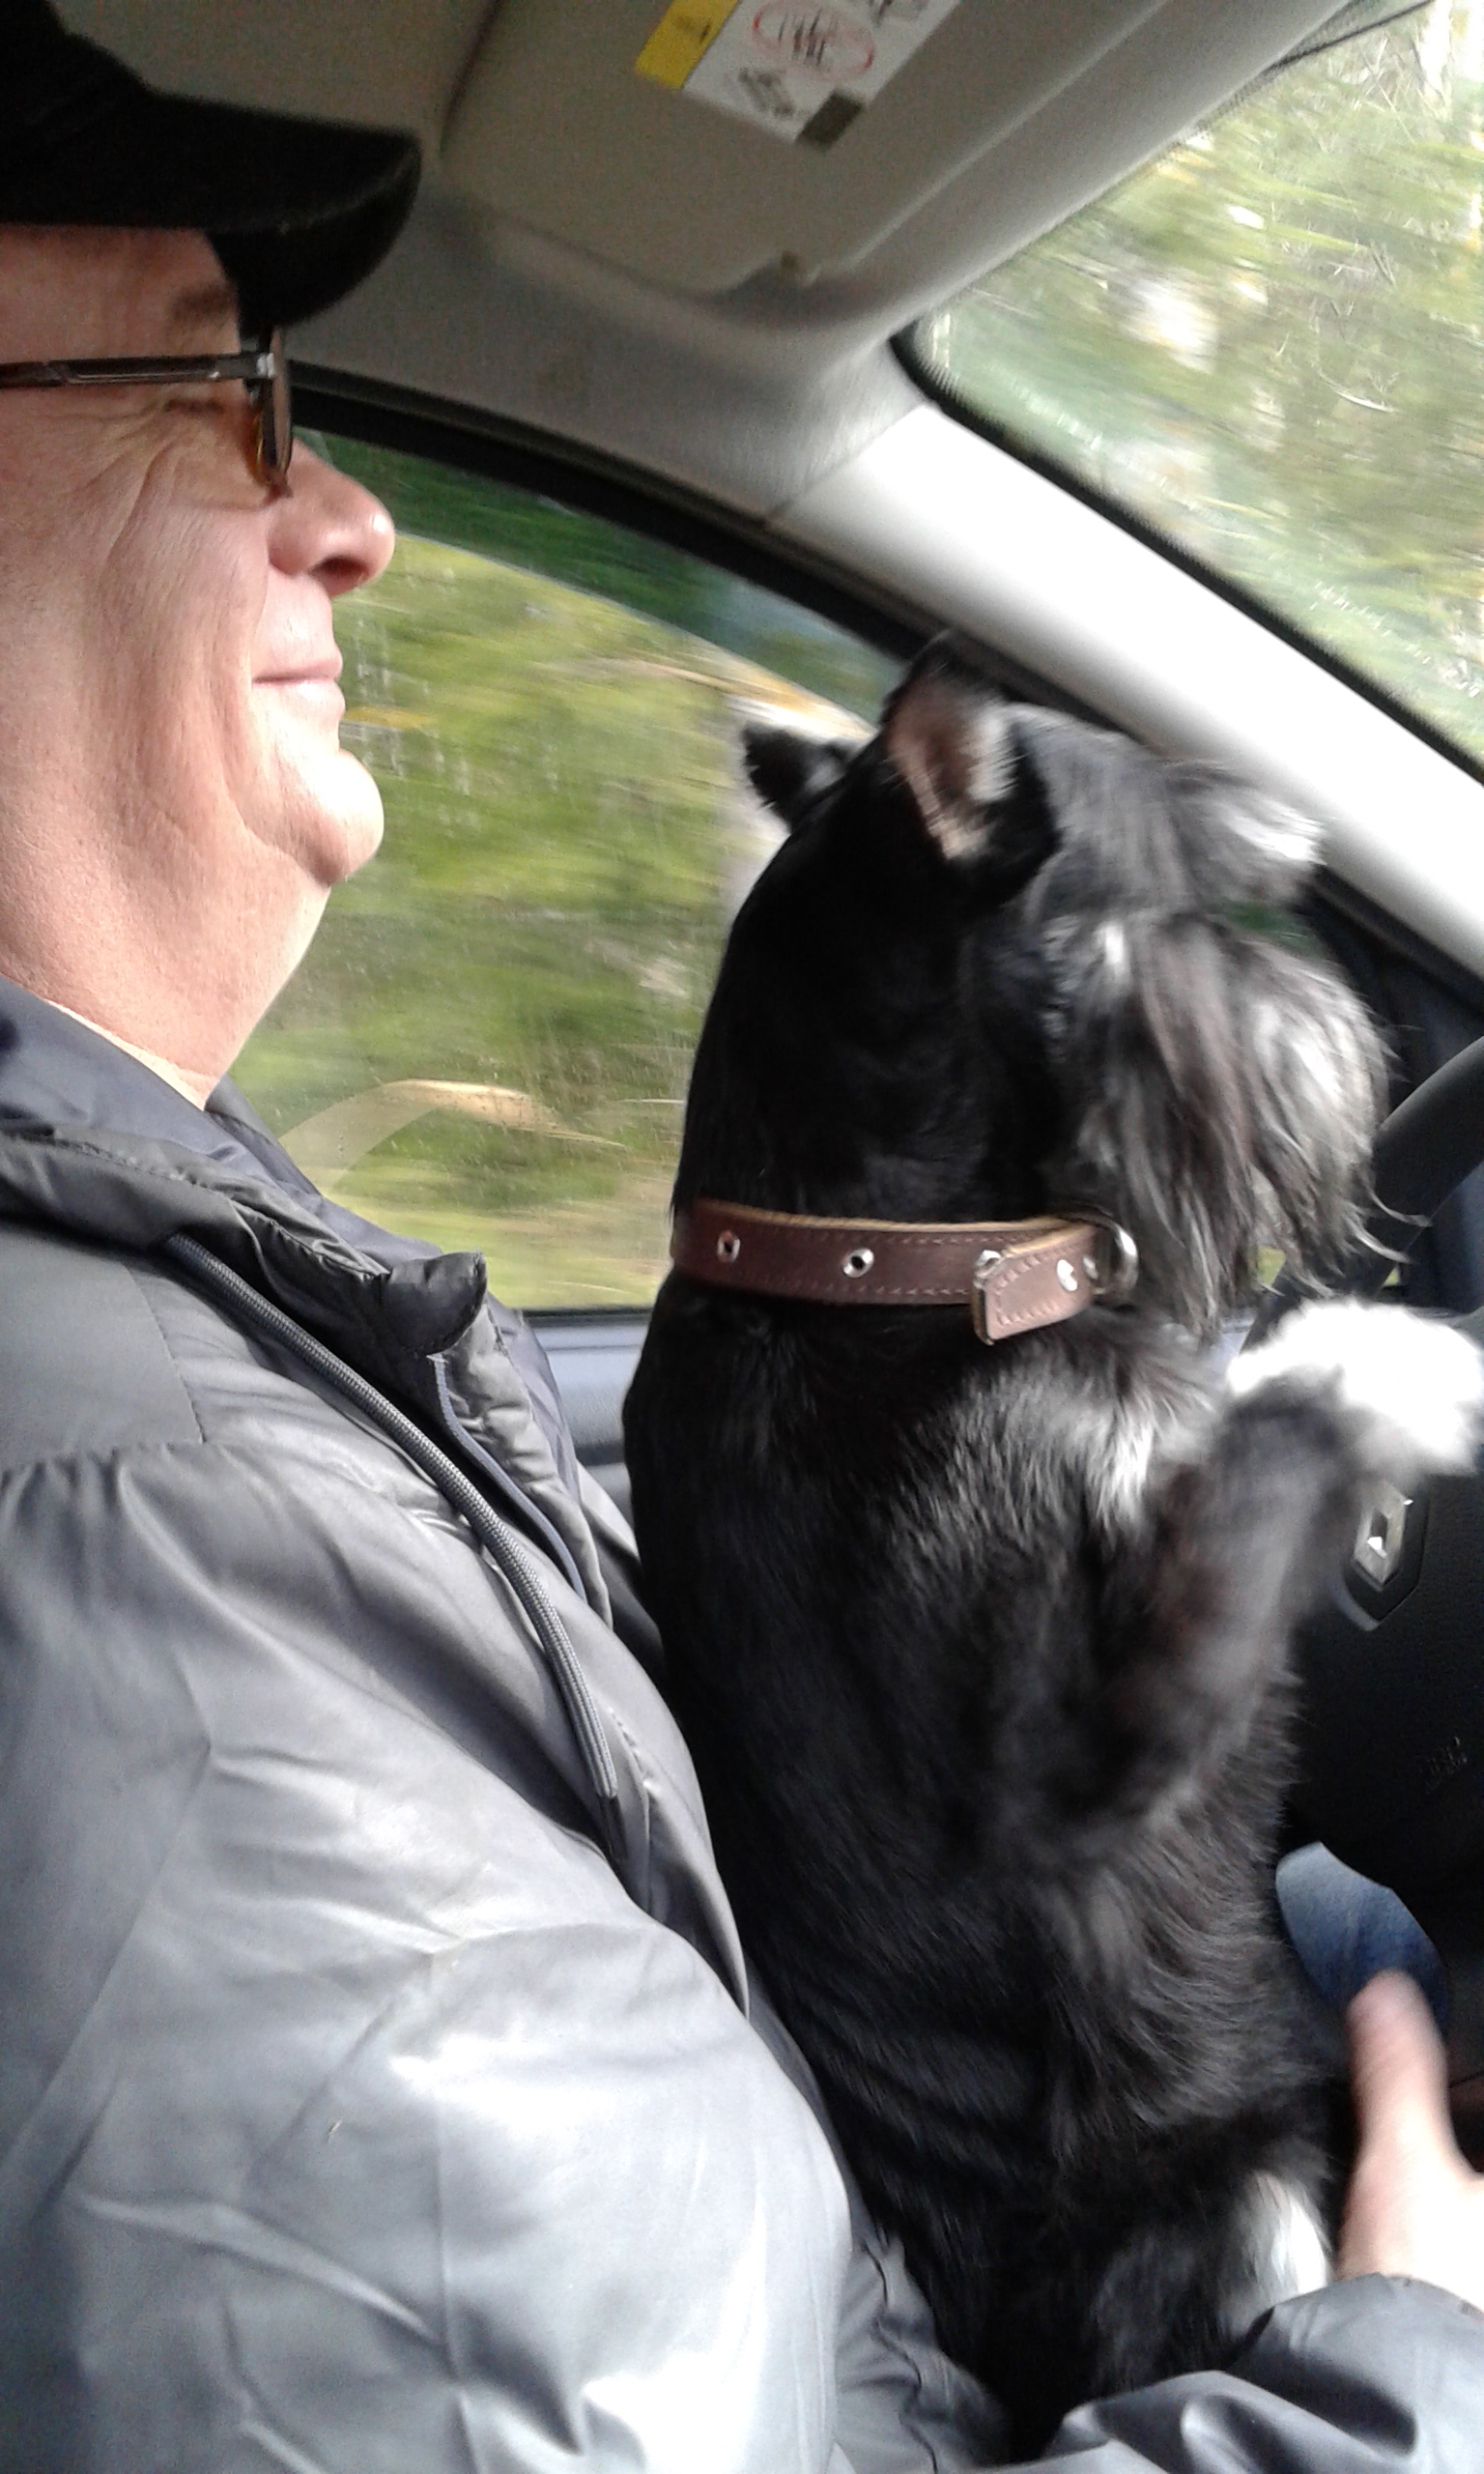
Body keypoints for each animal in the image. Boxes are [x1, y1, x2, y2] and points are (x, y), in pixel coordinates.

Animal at [622, 640, 1484, 2449]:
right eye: (1200, 899)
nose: (1351, 1038)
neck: (866, 1272)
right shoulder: (1094, 1756)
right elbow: (1261, 1473)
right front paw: (1384, 1368)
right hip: (1241, 2198)